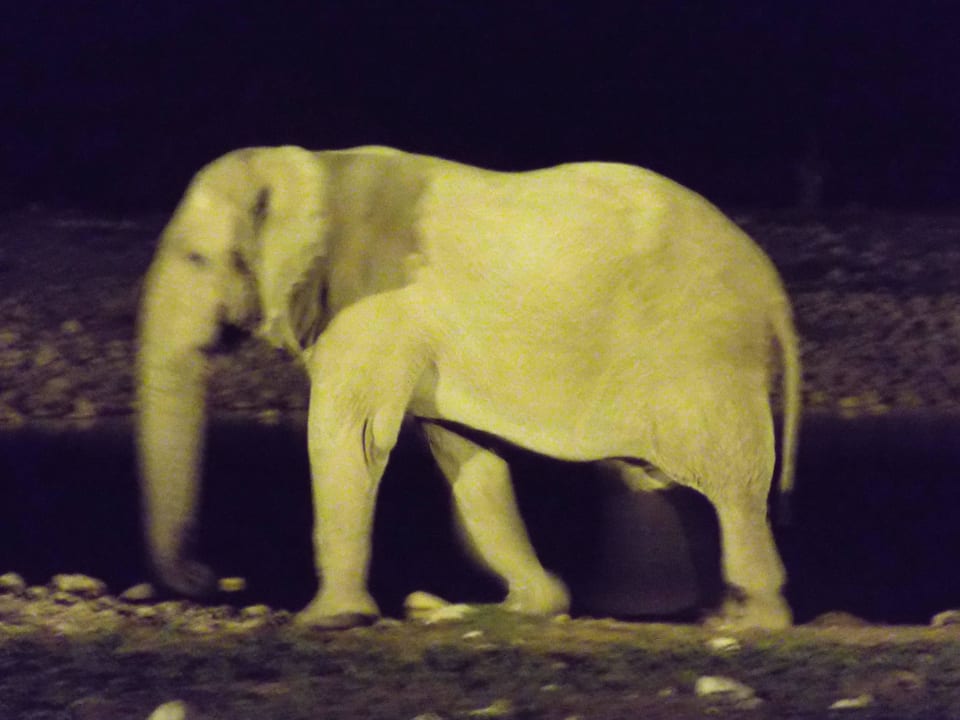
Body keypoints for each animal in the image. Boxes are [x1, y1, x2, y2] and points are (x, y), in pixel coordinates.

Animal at [136, 144, 801, 630]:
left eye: (196, 260)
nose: (213, 579)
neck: (313, 170)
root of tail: (775, 290)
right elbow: (463, 455)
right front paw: (531, 607)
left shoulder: (374, 307)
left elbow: (346, 436)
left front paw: (325, 621)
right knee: (653, 480)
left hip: (705, 356)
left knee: (729, 482)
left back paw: (747, 622)